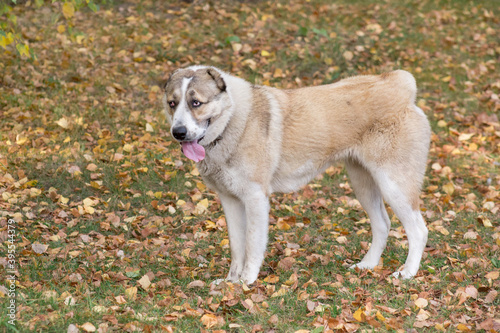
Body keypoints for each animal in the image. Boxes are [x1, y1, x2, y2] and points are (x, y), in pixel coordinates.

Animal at [162, 65, 432, 282]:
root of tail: (398, 84)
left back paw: (407, 273)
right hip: (363, 184)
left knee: (418, 230)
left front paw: (246, 282)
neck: (234, 119)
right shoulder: (230, 201)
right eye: (172, 103)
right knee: (382, 224)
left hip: (394, 185)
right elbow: (237, 246)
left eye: (196, 103)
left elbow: (252, 244)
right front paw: (230, 282)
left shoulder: (255, 199)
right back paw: (367, 265)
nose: (179, 132)